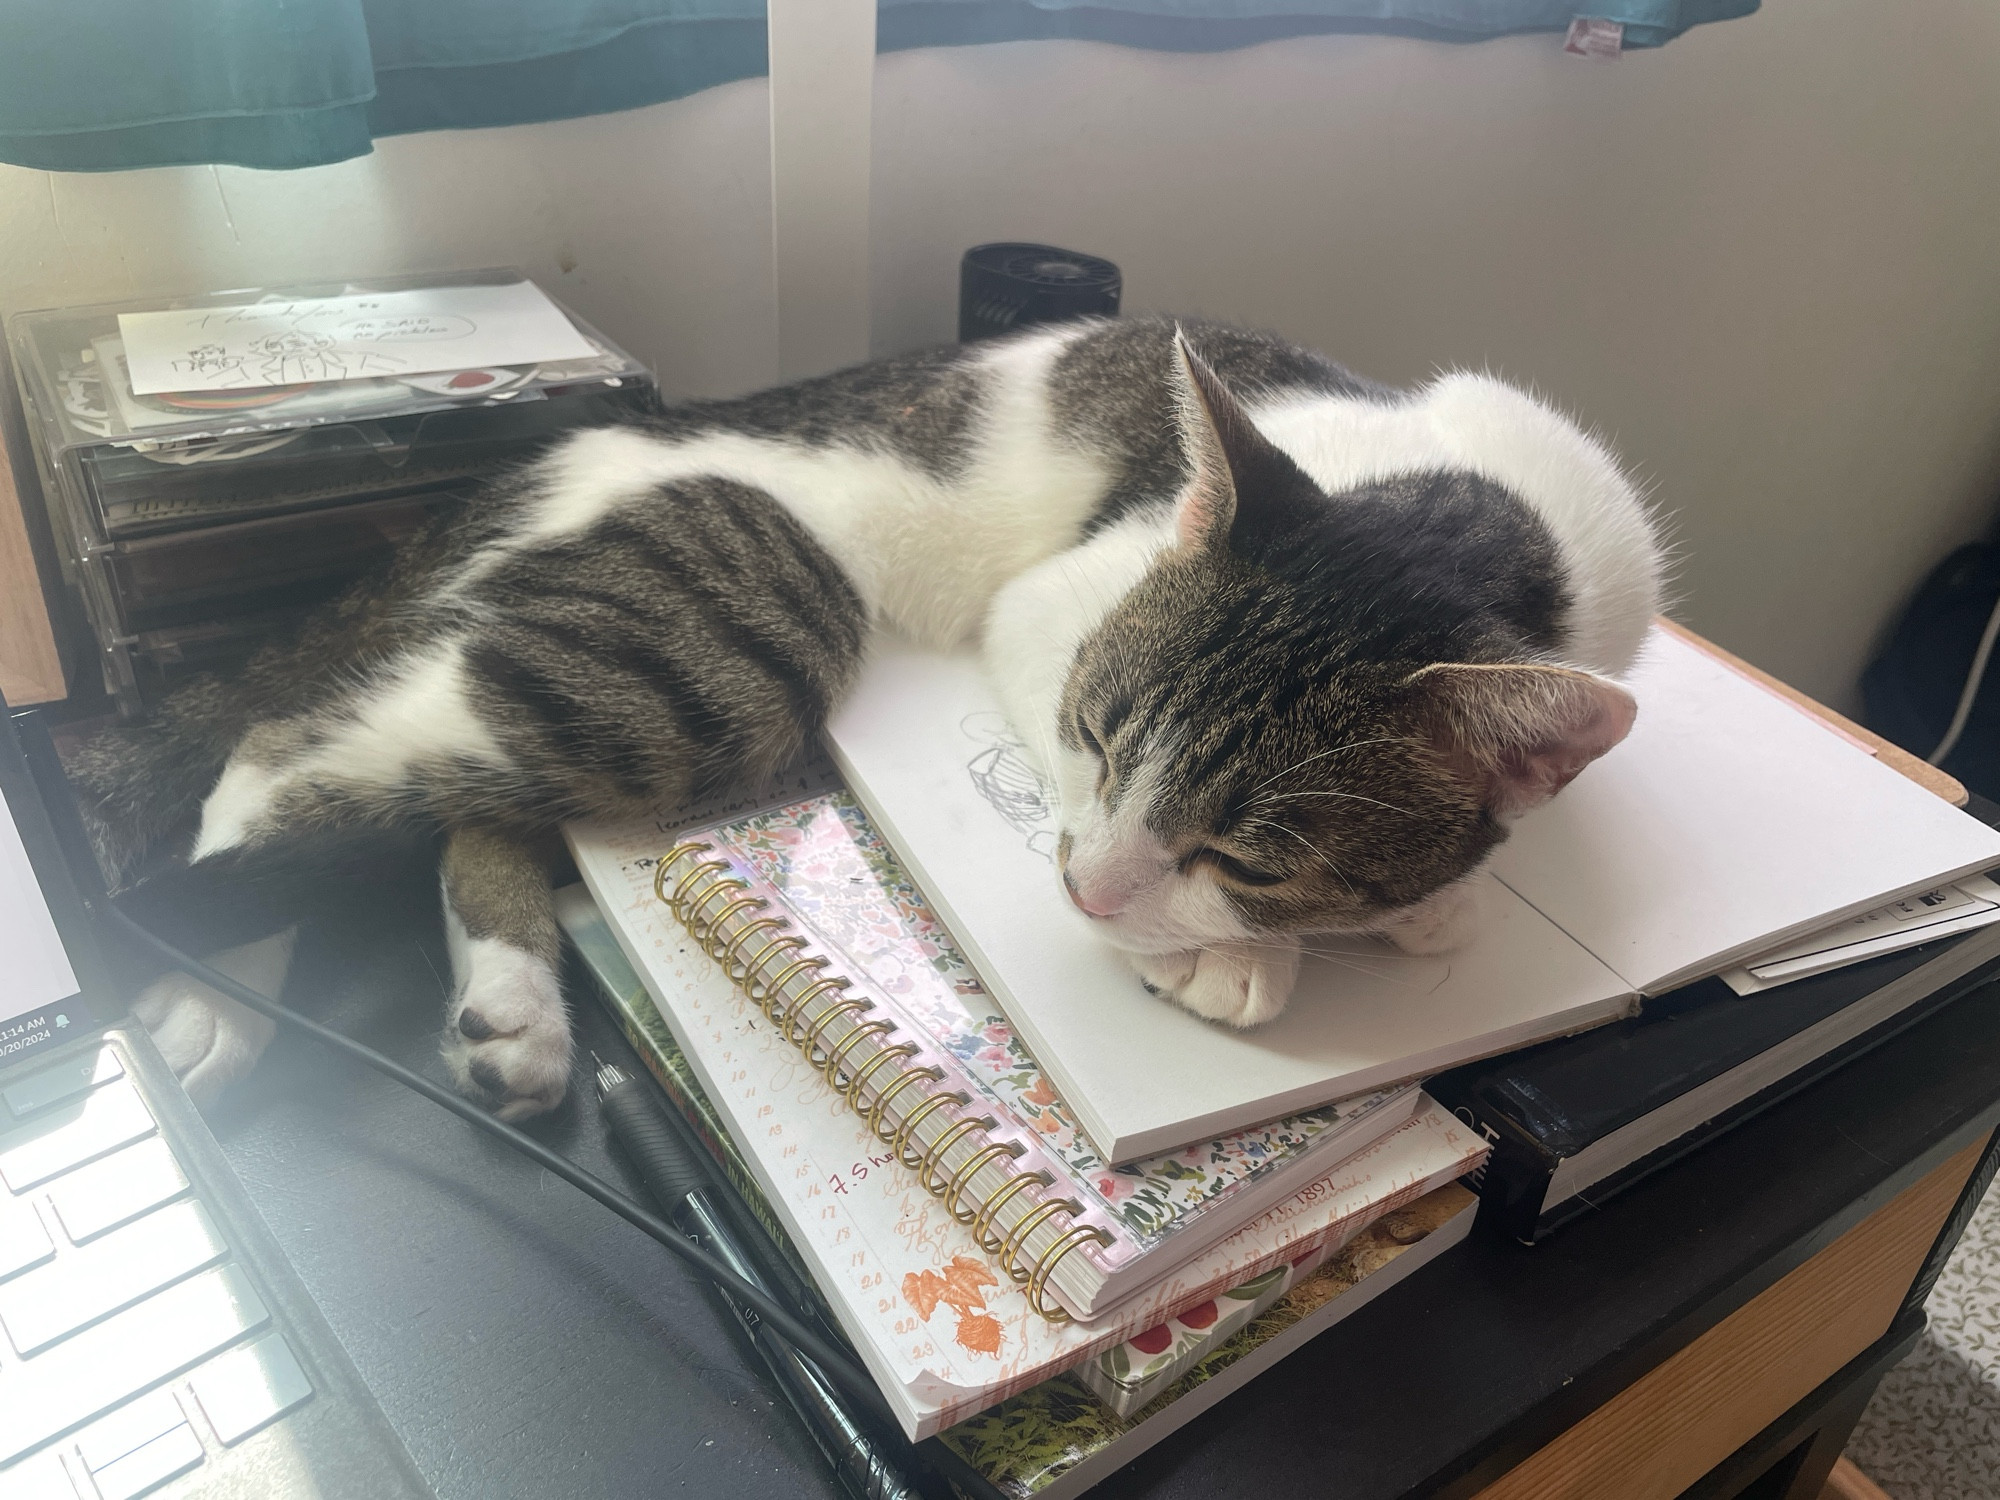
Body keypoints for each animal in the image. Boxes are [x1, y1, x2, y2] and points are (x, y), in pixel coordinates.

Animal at [70, 314, 1664, 1120]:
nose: (1086, 896)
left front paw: (1432, 901)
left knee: (462, 790)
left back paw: (512, 1010)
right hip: (718, 630)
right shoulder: (1055, 611)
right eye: (1096, 734)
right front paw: (1228, 958)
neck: (1469, 503)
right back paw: (212, 985)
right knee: (282, 753)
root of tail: (530, 467)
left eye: (1256, 850)